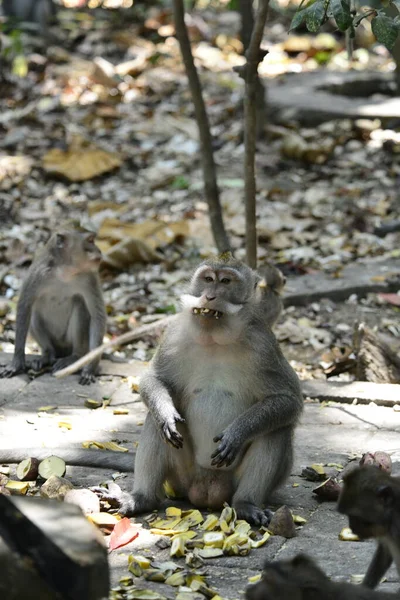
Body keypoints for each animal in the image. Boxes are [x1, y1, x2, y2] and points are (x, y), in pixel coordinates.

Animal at [0, 232, 106, 386]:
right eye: (90, 240)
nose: (99, 250)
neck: (64, 272)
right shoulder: (37, 274)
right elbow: (25, 306)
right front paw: (17, 363)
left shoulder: (89, 278)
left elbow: (97, 316)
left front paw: (90, 368)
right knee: (33, 313)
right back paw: (47, 355)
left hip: (70, 342)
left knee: (80, 306)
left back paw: (75, 357)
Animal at [101, 254, 302, 524]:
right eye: (208, 279)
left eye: (225, 281)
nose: (209, 296)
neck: (215, 338)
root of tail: (207, 491)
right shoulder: (174, 334)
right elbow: (154, 378)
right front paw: (166, 414)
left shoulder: (264, 345)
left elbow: (288, 399)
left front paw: (238, 432)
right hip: (181, 479)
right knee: (154, 423)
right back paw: (142, 498)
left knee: (277, 428)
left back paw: (246, 504)